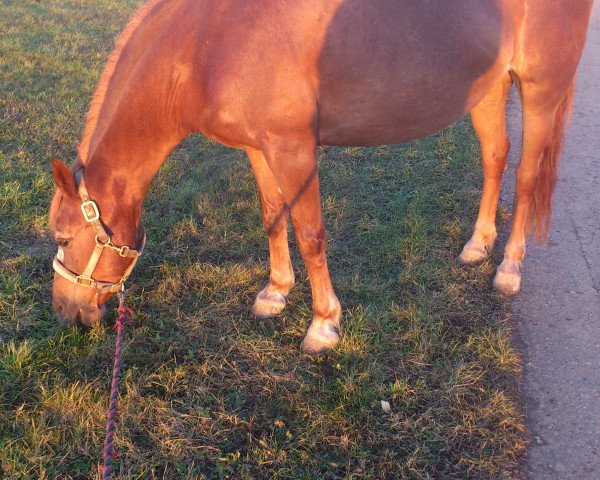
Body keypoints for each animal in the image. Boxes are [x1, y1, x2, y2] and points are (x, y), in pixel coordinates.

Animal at [50, 0, 596, 352]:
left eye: (61, 237)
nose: (65, 314)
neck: (208, 44)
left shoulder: (294, 150)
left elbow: (310, 233)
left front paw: (323, 325)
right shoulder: (258, 148)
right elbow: (273, 216)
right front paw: (274, 292)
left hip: (540, 92)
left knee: (526, 177)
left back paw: (509, 268)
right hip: (488, 89)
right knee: (494, 159)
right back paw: (478, 244)